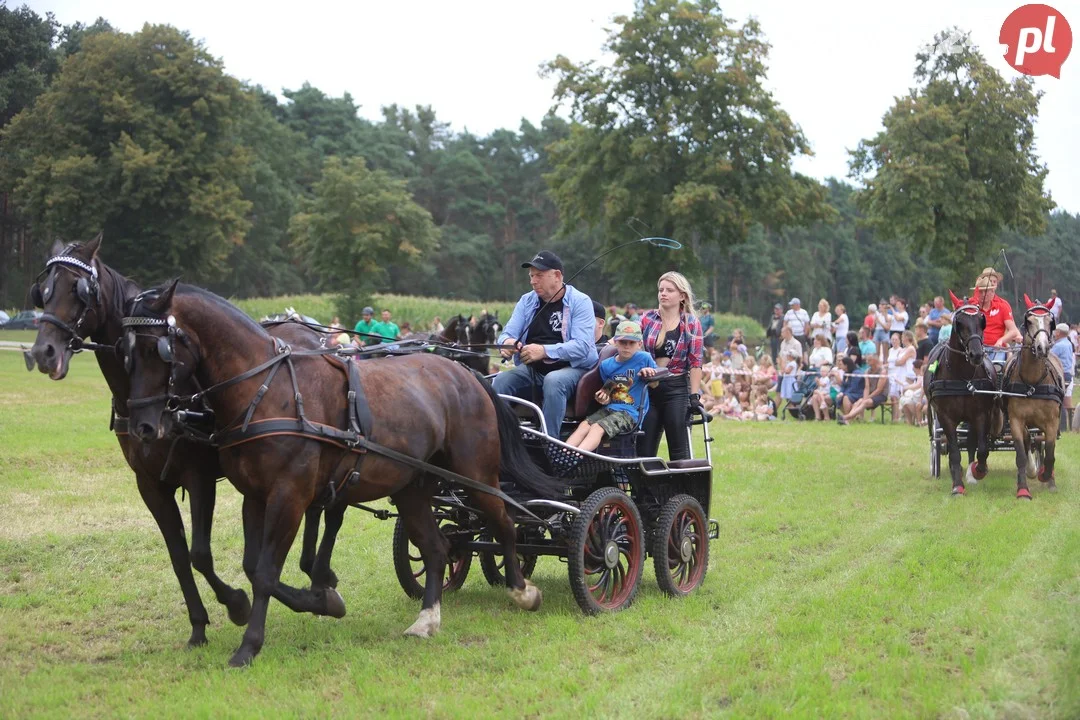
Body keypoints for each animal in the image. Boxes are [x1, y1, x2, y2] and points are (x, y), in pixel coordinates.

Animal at [27, 235, 345, 647]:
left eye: (79, 290)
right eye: (44, 292)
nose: (43, 352)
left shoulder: (199, 476)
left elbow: (201, 554)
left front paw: (237, 604)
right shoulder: (149, 483)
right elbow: (178, 555)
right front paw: (198, 625)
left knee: (328, 508)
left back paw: (318, 573)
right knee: (316, 506)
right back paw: (316, 571)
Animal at [124, 278, 565, 669]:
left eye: (157, 348)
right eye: (125, 352)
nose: (142, 424)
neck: (268, 388)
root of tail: (467, 375)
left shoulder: (290, 496)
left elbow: (266, 571)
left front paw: (250, 645)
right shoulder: (256, 495)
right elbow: (254, 566)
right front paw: (321, 600)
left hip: (475, 475)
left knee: (505, 524)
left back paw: (522, 591)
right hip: (412, 488)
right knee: (438, 546)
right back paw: (427, 619)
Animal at [924, 293, 997, 496]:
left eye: (981, 321)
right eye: (959, 322)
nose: (976, 354)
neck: (963, 377)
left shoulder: (980, 414)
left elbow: (981, 448)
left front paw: (979, 470)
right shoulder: (946, 417)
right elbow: (955, 451)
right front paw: (957, 485)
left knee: (971, 443)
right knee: (947, 443)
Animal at [1002, 295, 1062, 498]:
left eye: (1051, 321)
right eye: (1029, 321)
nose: (1041, 347)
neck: (1033, 382)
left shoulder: (1052, 422)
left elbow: (1050, 453)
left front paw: (1048, 478)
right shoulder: (1016, 420)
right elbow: (1021, 453)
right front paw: (1023, 488)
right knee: (1030, 441)